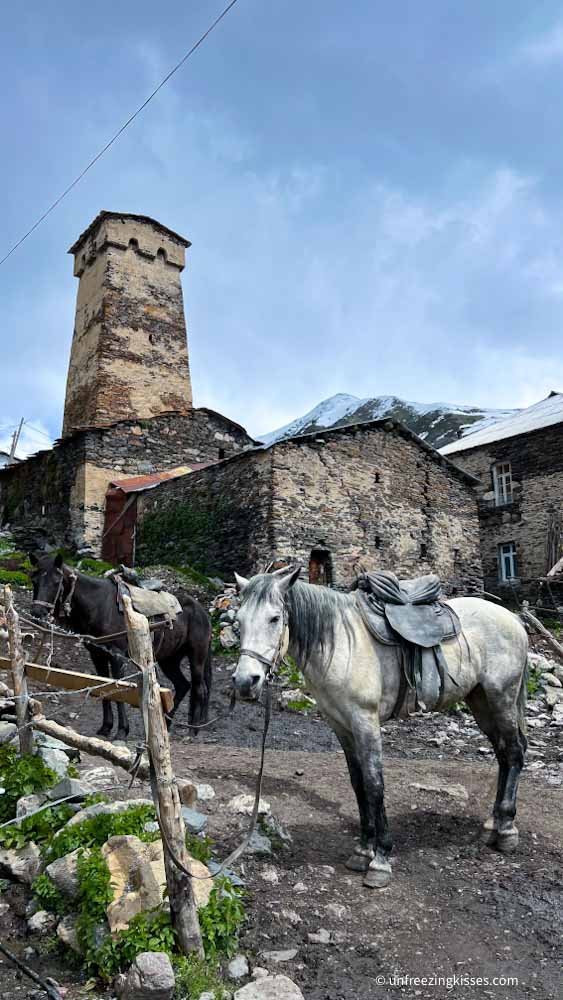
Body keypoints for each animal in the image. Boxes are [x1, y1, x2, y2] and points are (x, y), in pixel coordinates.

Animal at [29, 556, 214, 744]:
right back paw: (167, 726)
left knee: (200, 689)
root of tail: (202, 611)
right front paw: (106, 727)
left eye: (56, 582)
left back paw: (193, 731)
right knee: (183, 685)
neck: (100, 605)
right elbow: (103, 688)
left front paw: (122, 731)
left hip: (196, 657)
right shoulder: (97, 655)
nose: (37, 612)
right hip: (169, 660)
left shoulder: (117, 657)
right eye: (34, 580)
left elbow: (118, 690)